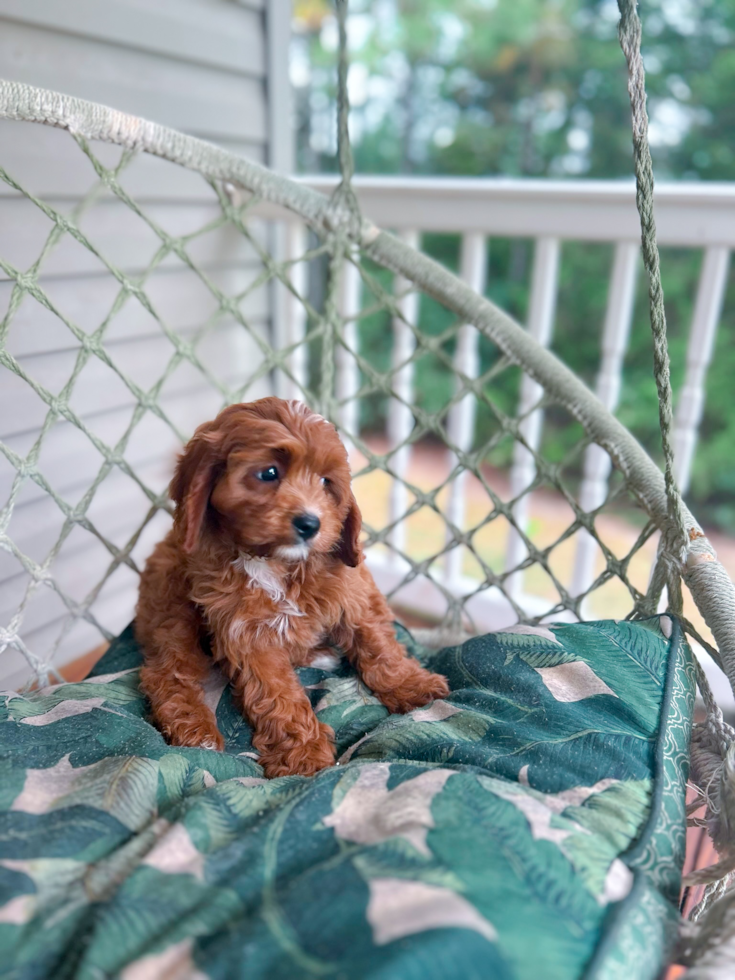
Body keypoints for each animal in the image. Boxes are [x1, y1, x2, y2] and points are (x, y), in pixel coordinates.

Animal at [135, 396, 452, 772]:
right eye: (269, 473)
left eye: (326, 481)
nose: (310, 523)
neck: (276, 563)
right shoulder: (247, 635)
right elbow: (278, 695)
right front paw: (303, 754)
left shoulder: (355, 594)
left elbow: (378, 643)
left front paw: (411, 685)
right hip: (171, 606)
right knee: (168, 670)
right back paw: (196, 729)